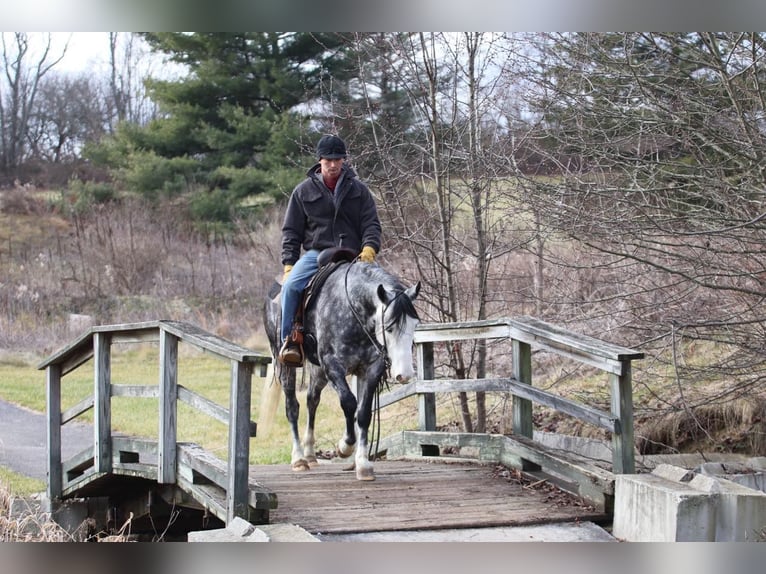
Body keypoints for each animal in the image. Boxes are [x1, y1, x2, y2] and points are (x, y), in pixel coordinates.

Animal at [262, 260, 420, 482]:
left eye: (415, 325)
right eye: (389, 327)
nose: (404, 375)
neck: (353, 310)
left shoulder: (370, 369)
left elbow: (363, 412)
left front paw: (363, 464)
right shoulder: (333, 365)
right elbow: (349, 403)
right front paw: (344, 447)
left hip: (318, 371)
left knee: (312, 400)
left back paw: (310, 454)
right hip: (285, 363)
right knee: (292, 406)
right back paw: (299, 459)